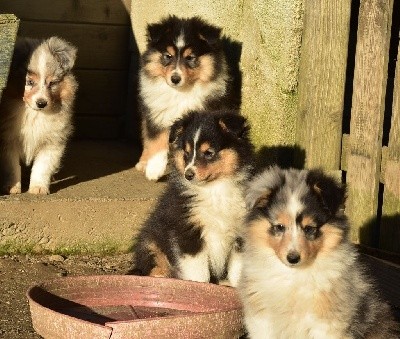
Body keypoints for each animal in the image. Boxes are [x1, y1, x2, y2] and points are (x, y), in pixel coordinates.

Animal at [0, 35, 77, 195]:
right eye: (29, 82)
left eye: (52, 83)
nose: (42, 103)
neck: (35, 115)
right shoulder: (8, 140)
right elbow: (12, 167)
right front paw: (12, 188)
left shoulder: (53, 142)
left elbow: (42, 167)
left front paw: (38, 188)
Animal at [131, 111, 253, 286]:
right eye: (186, 153)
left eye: (209, 153)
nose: (188, 174)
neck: (214, 189)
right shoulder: (187, 231)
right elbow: (198, 272)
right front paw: (197, 287)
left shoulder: (240, 234)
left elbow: (238, 268)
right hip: (151, 239)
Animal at [134, 14, 238, 182]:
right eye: (168, 56)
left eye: (190, 58)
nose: (175, 79)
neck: (180, 92)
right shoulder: (157, 113)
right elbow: (156, 142)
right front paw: (154, 170)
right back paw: (143, 163)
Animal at [239, 167, 398, 339]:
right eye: (280, 227)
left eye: (309, 228)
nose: (293, 258)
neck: (294, 275)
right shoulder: (262, 320)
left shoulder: (327, 324)